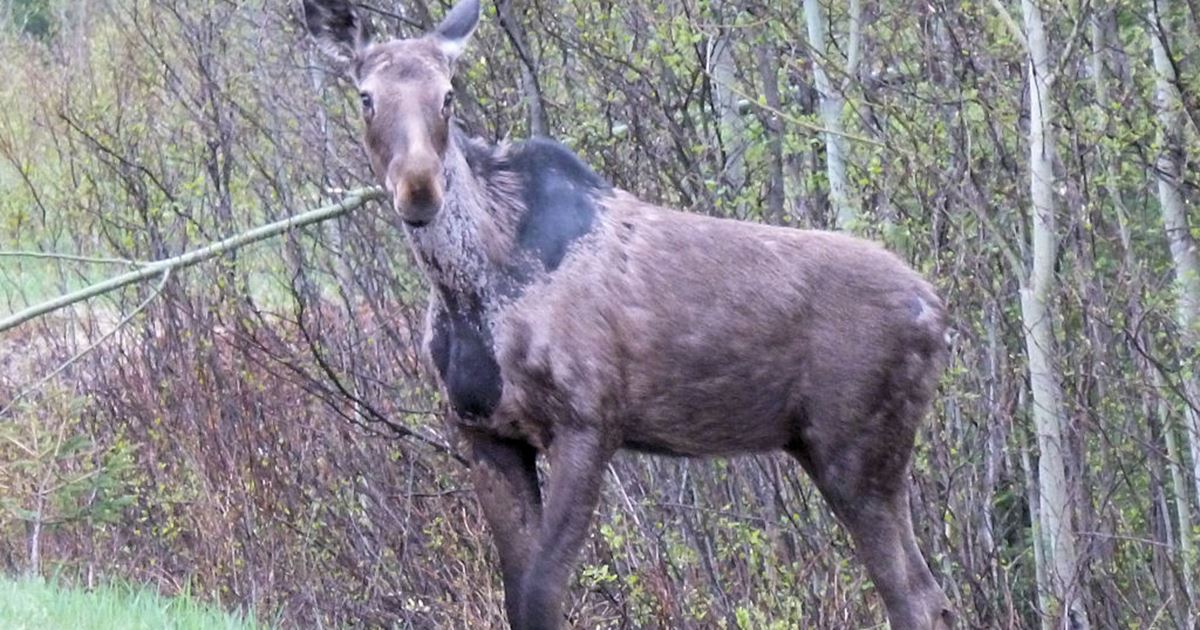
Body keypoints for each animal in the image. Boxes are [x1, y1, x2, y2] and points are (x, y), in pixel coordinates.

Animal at [302, 1, 954, 628]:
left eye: (448, 94)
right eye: (366, 97)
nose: (419, 189)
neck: (469, 298)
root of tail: (941, 313)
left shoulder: (589, 421)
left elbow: (542, 596)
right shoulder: (483, 432)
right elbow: (518, 598)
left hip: (858, 445)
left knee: (915, 597)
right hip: (827, 446)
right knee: (928, 595)